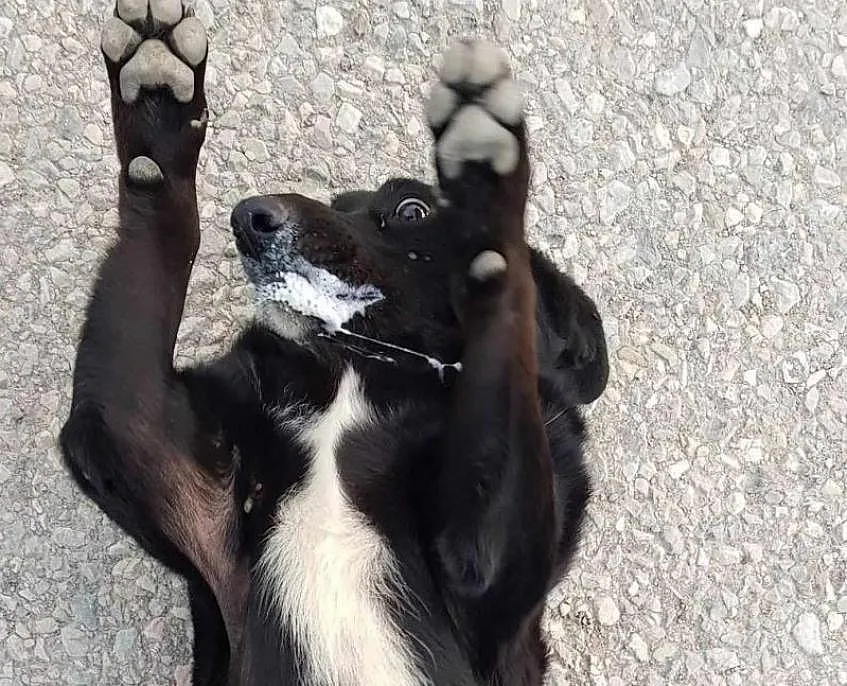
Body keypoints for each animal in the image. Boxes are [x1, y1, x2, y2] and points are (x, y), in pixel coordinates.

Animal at [60, 1, 609, 684]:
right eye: (337, 202)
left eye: (410, 210)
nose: (249, 216)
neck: (359, 377)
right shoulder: (150, 444)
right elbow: (156, 241)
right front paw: (158, 108)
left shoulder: (483, 561)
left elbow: (503, 304)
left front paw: (484, 181)